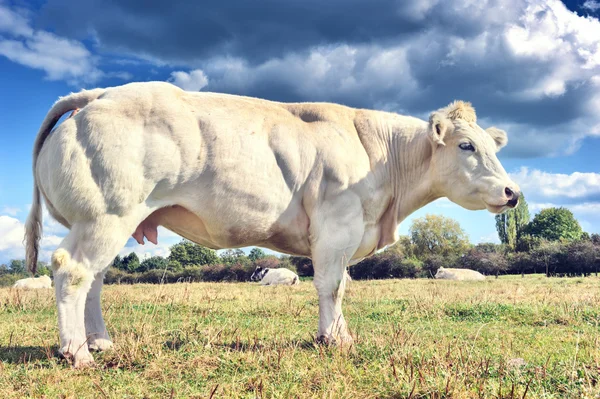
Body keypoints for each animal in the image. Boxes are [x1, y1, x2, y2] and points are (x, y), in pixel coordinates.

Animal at [25, 82, 516, 368]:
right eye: (467, 146)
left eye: (493, 146)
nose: (513, 193)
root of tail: (98, 94)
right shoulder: (336, 227)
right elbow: (331, 286)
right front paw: (333, 340)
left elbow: (340, 286)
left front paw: (338, 335)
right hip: (106, 214)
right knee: (72, 271)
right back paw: (78, 353)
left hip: (106, 221)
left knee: (95, 280)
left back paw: (100, 342)